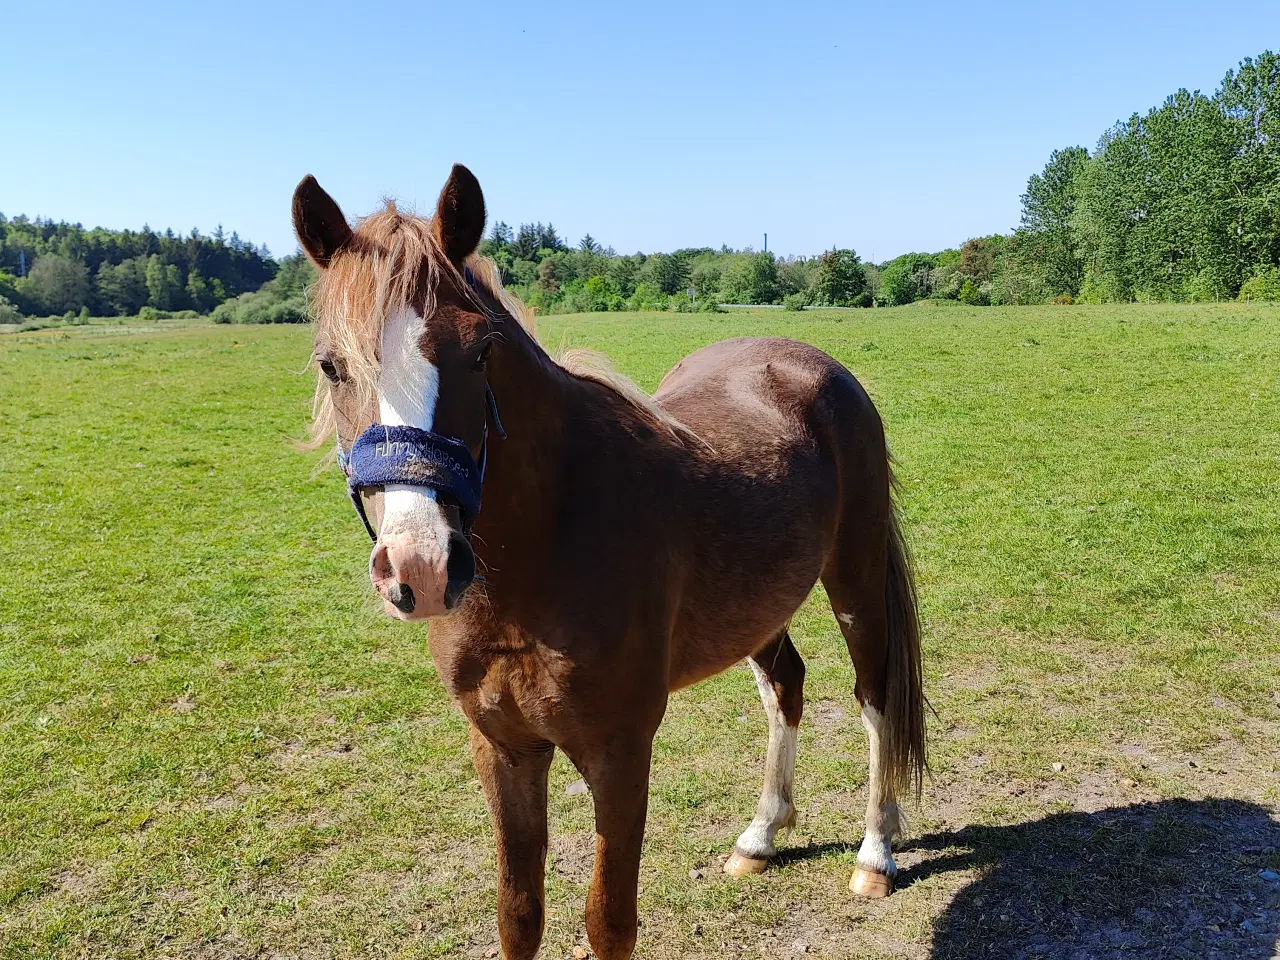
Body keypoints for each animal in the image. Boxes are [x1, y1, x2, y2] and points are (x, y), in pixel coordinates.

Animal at [294, 167, 926, 960]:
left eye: (479, 351)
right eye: (331, 365)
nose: (423, 568)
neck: (542, 555)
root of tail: (814, 364)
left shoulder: (620, 753)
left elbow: (609, 921)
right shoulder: (503, 749)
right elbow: (518, 915)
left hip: (855, 583)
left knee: (874, 698)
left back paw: (876, 853)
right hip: (760, 608)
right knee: (786, 685)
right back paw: (761, 836)